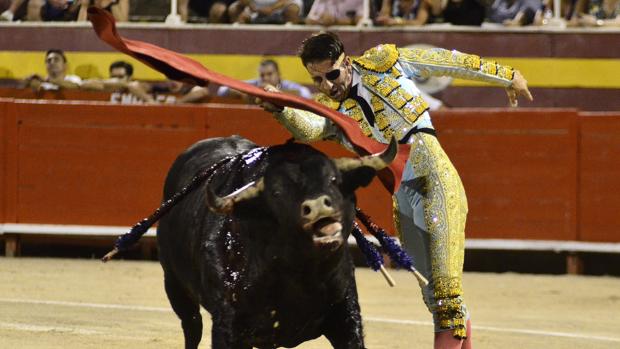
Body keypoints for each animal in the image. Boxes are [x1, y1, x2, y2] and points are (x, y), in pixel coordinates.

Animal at [157, 135, 394, 346]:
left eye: (334, 180)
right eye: (277, 193)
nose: (317, 205)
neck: (301, 274)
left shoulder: (346, 315)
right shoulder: (227, 325)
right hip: (174, 285)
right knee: (192, 327)